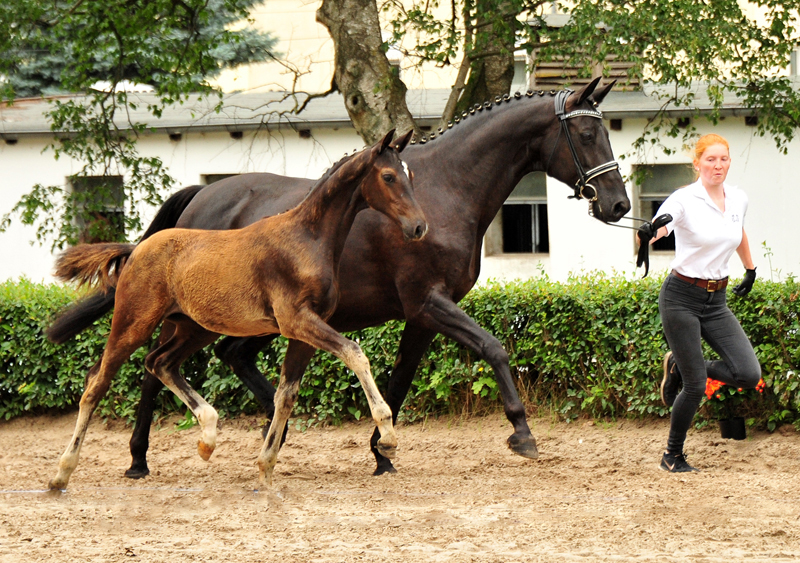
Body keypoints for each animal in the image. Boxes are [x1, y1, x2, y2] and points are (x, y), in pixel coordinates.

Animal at [48, 130, 424, 492]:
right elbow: (355, 352)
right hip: (134, 322)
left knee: (159, 362)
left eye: (411, 174)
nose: (419, 227)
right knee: (97, 382)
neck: (307, 239)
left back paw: (207, 438)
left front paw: (266, 469)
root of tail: (137, 249)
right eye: (388, 176)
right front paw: (388, 438)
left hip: (195, 328)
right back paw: (61, 474)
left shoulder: (305, 331)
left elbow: (286, 394)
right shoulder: (297, 320)